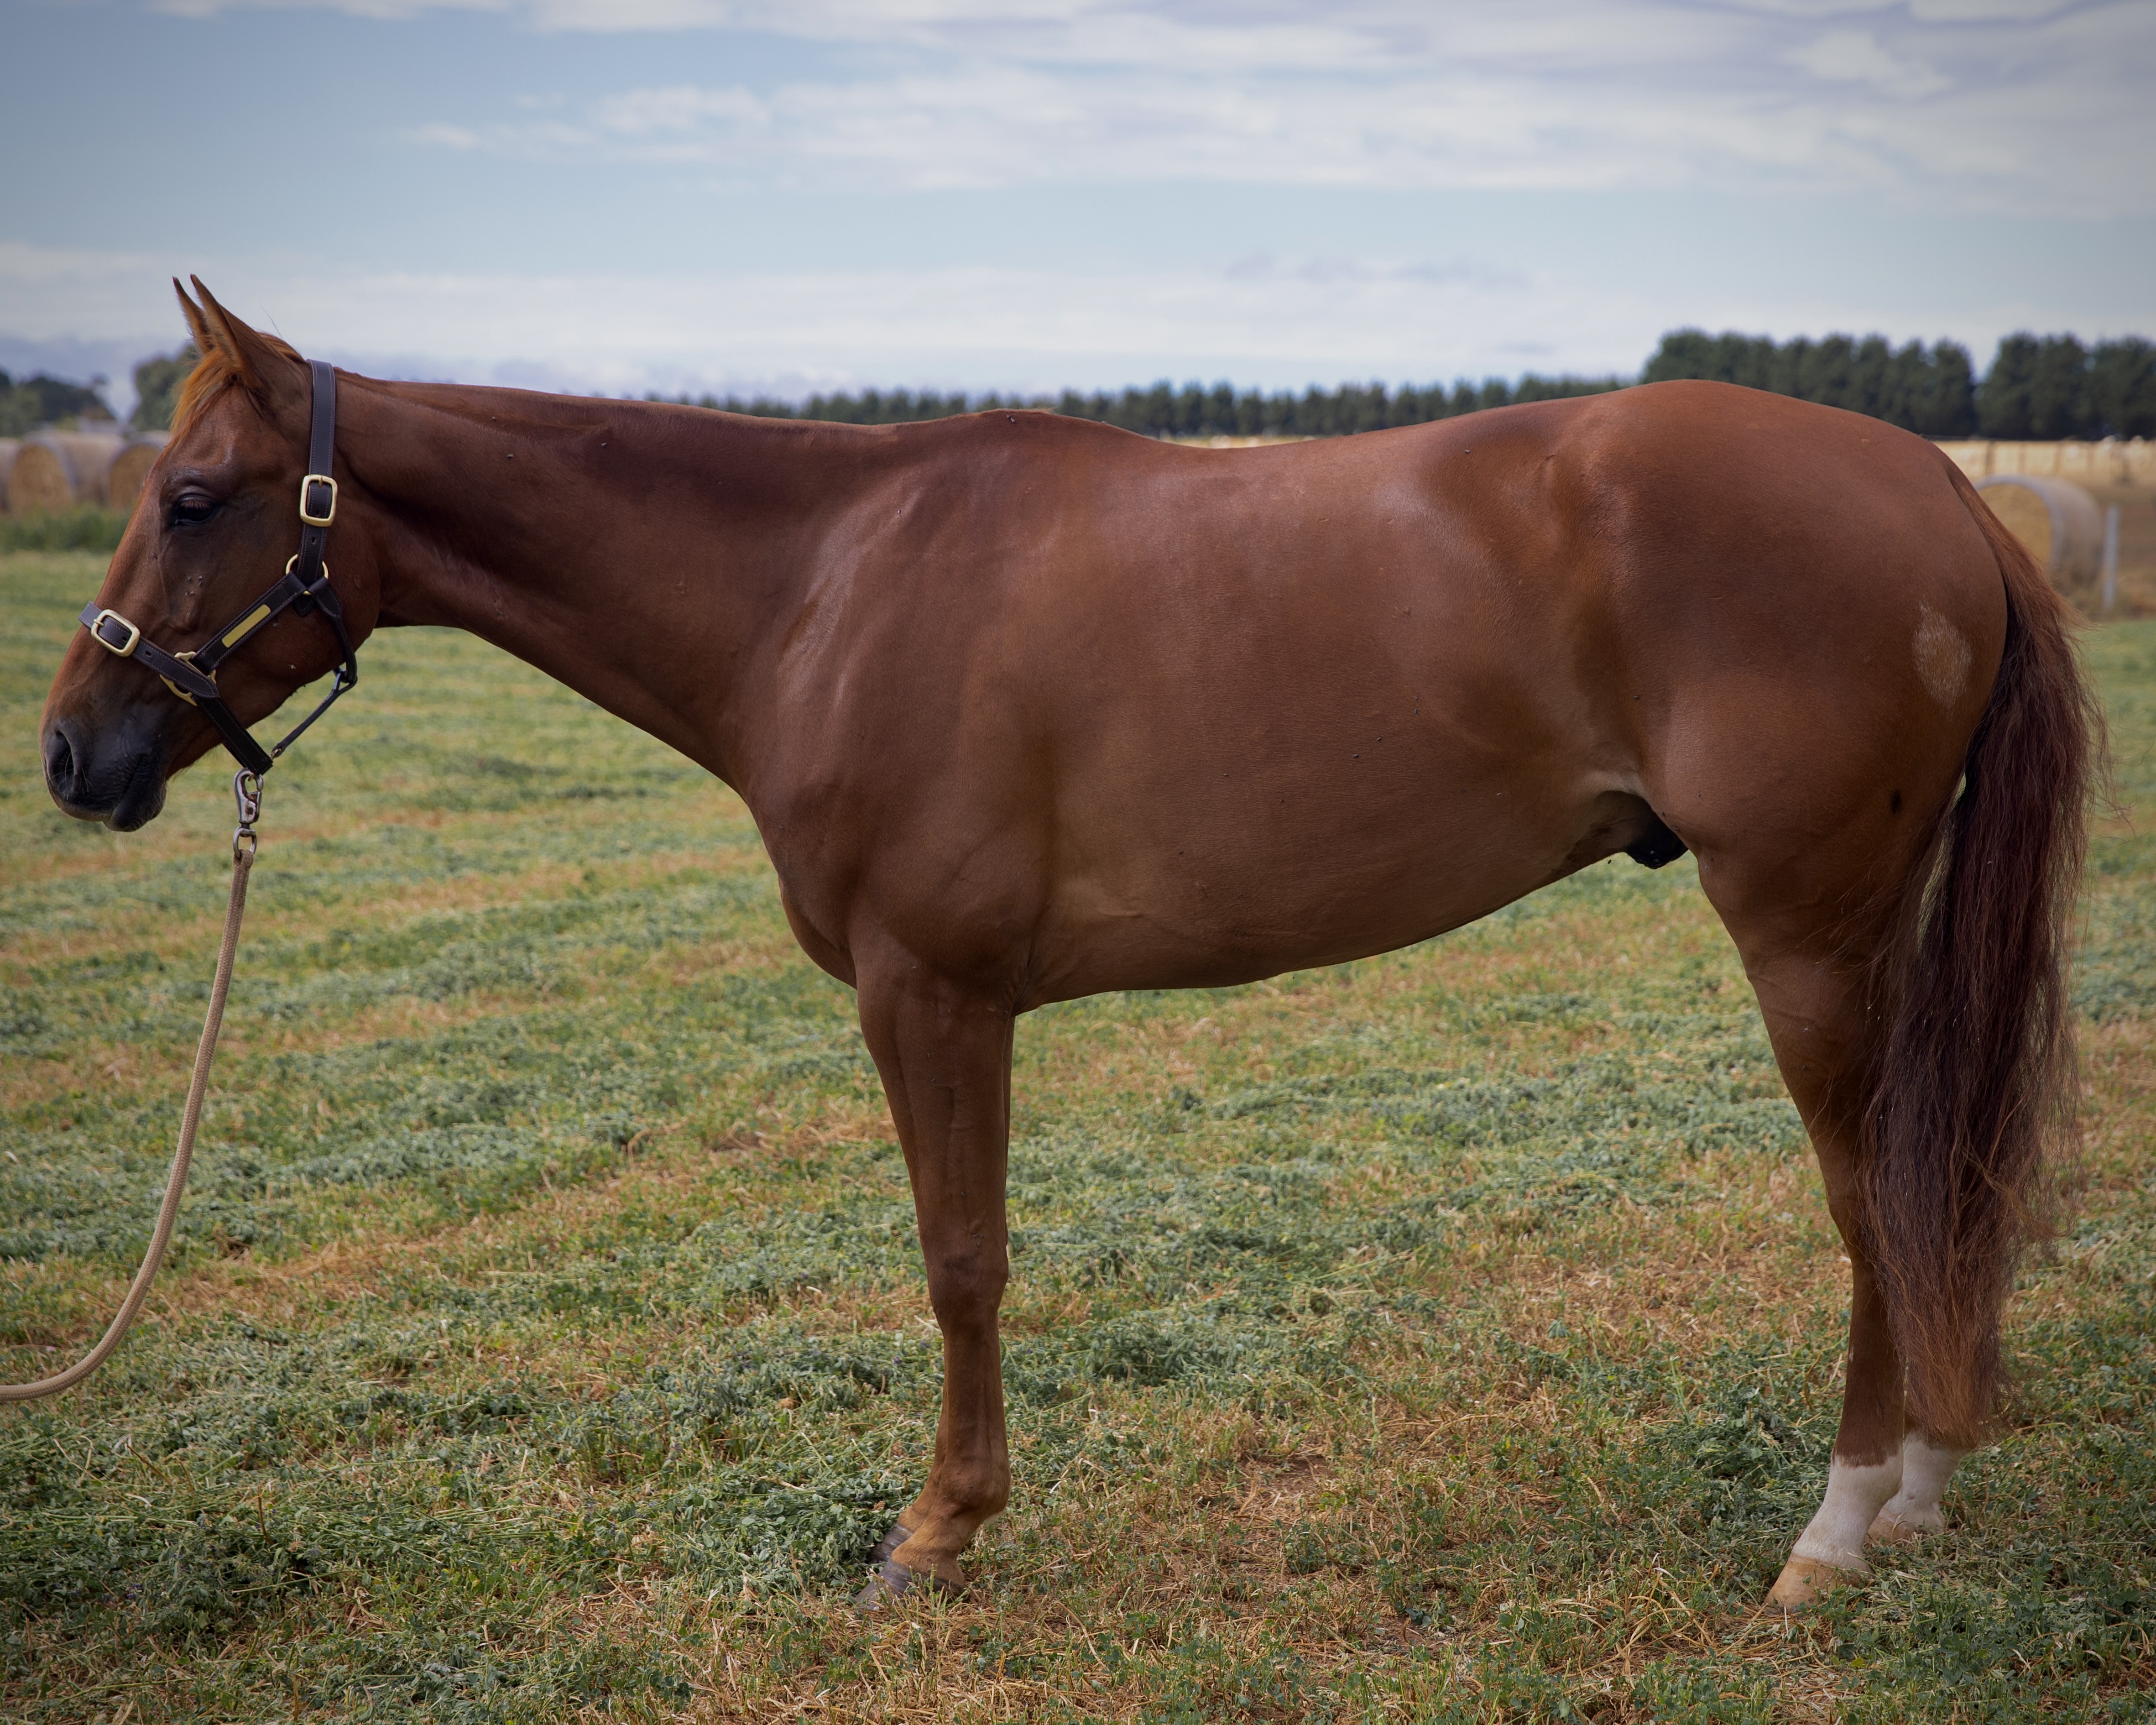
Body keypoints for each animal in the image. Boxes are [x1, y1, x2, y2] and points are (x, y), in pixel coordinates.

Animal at [42, 281, 2092, 1612]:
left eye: (195, 499)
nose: (74, 754)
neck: (820, 584)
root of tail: (1942, 487)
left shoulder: (928, 990)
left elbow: (960, 1260)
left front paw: (935, 1532)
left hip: (1803, 930)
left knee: (1869, 1188)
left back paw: (1833, 1533)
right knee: (1927, 1180)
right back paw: (1915, 1493)